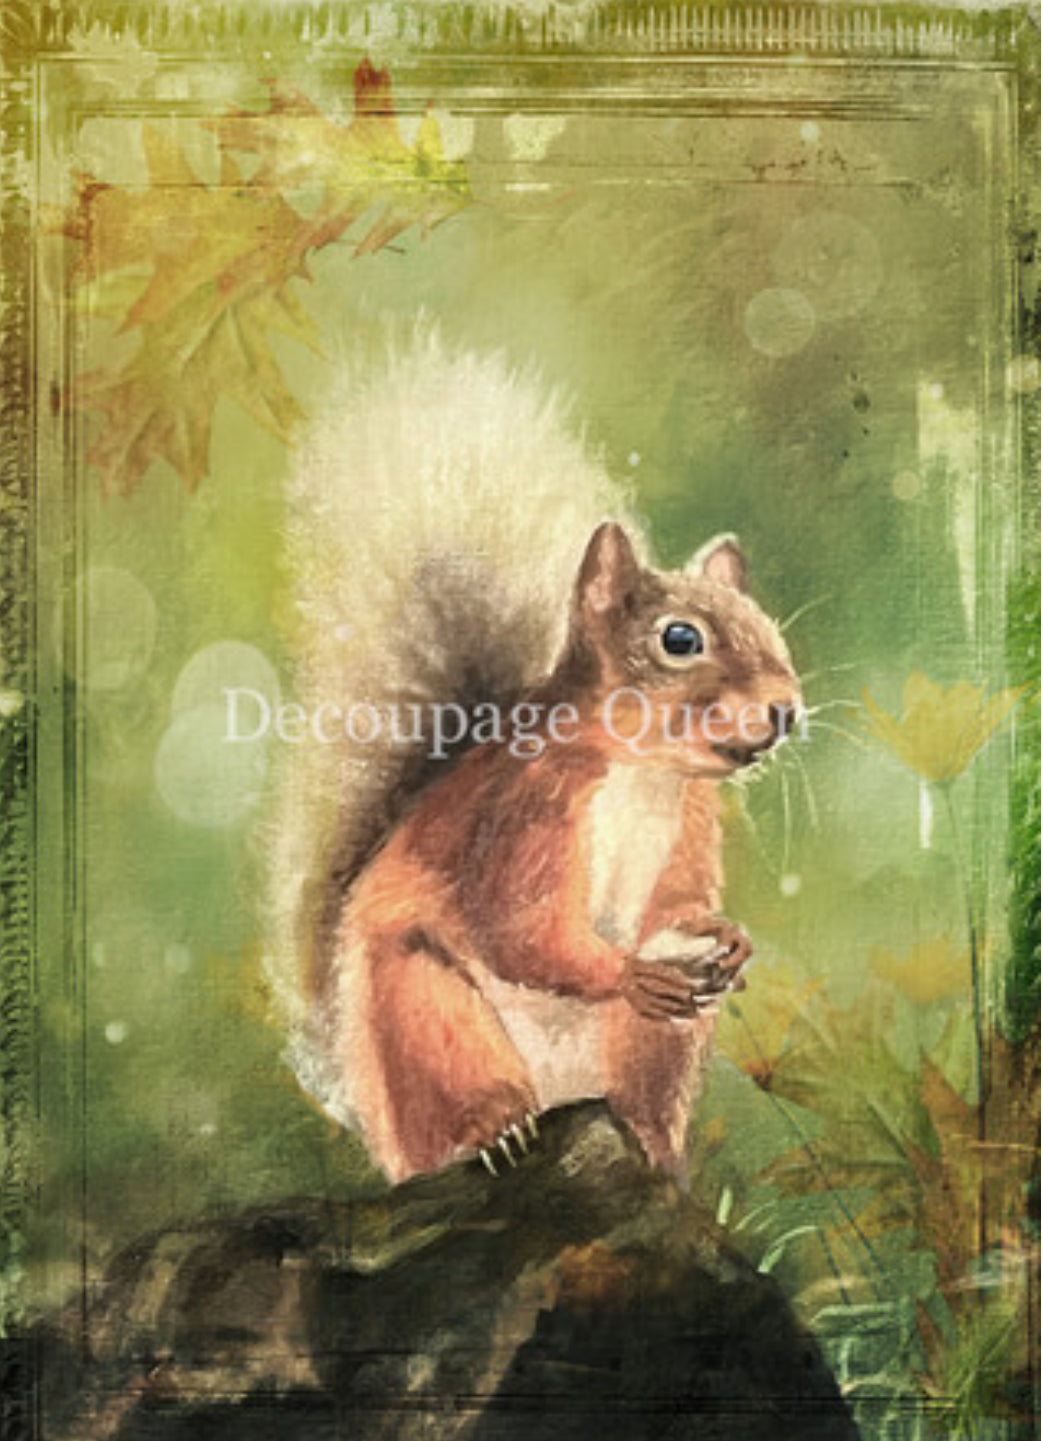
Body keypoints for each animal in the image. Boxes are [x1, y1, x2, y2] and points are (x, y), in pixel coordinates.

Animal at [264, 332, 802, 1183]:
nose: (785, 709)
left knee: (646, 1097)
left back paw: (656, 1150)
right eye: (679, 638)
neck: (644, 771)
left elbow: (677, 903)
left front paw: (726, 935)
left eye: (769, 627)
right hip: (430, 1017)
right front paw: (628, 971)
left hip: (653, 1047)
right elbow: (521, 929)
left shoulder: (689, 822)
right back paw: (493, 1129)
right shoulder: (527, 807)